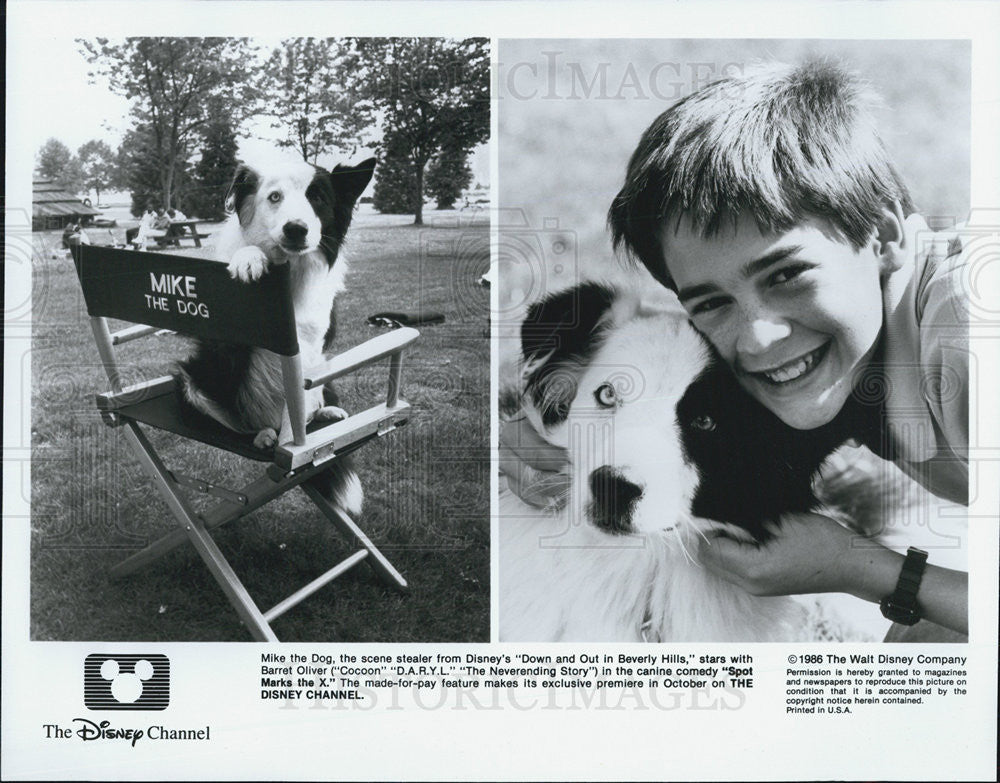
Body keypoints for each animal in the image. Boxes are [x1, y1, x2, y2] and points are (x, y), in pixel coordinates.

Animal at [176, 158, 376, 516]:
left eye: (318, 197)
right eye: (274, 197)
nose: (296, 229)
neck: (289, 271)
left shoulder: (308, 347)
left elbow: (295, 409)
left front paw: (297, 447)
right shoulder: (222, 342)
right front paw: (249, 258)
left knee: (309, 406)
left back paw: (326, 414)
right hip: (192, 381)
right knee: (239, 423)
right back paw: (261, 435)